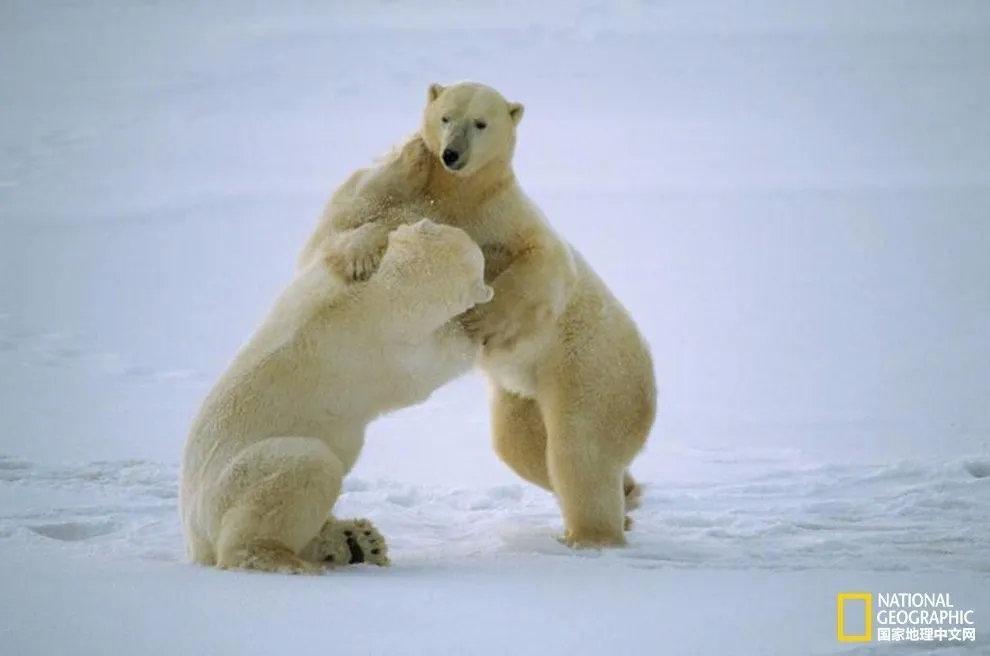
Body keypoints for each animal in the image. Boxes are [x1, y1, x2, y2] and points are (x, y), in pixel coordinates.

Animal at [180, 218, 494, 572]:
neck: (374, 299)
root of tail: (195, 540)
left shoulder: (318, 285)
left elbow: (328, 252)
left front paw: (365, 246)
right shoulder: (392, 353)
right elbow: (436, 366)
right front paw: (478, 328)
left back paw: (359, 541)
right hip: (235, 483)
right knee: (305, 468)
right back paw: (291, 558)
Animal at [302, 80, 660, 548]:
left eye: (480, 122)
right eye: (446, 116)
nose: (452, 154)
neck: (459, 193)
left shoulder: (505, 215)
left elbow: (545, 258)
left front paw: (482, 318)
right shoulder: (414, 201)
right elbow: (337, 231)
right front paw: (360, 257)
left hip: (593, 371)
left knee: (578, 448)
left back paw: (591, 534)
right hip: (523, 392)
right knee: (521, 445)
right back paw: (626, 494)